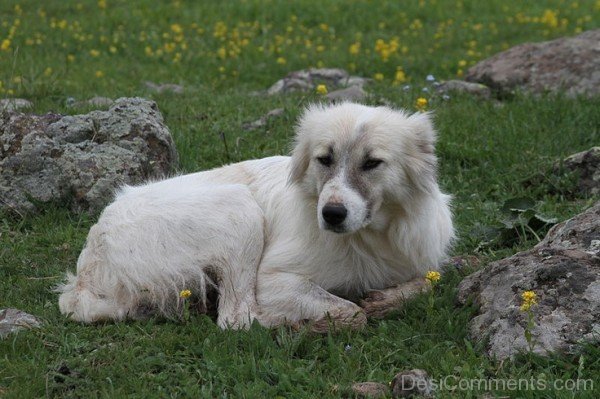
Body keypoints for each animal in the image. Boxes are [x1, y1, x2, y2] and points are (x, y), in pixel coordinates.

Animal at [57, 103, 454, 332]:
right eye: (324, 159)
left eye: (372, 163)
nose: (331, 214)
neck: (371, 237)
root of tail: (86, 271)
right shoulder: (273, 281)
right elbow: (351, 312)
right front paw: (343, 314)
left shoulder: (421, 262)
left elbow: (427, 282)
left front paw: (386, 298)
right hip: (240, 210)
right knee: (236, 319)